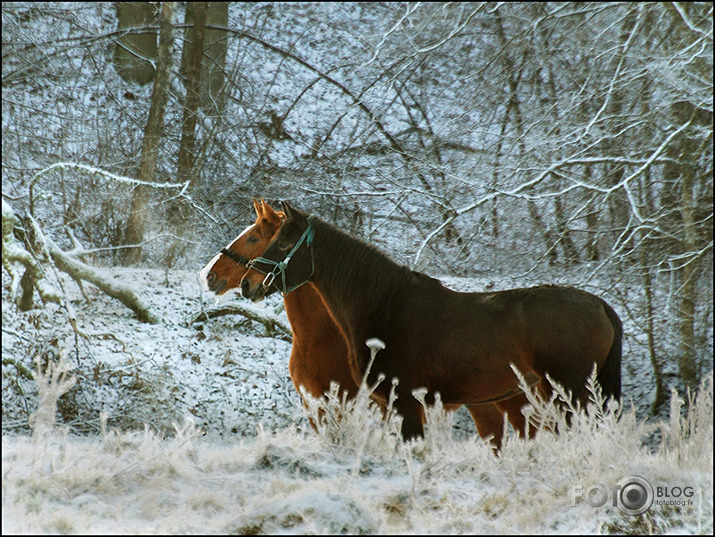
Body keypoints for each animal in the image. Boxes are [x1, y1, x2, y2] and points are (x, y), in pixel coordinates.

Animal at [239, 201, 620, 440]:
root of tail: (598, 304)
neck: (384, 306)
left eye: (283, 242)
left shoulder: (407, 405)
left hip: (570, 395)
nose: (248, 284)